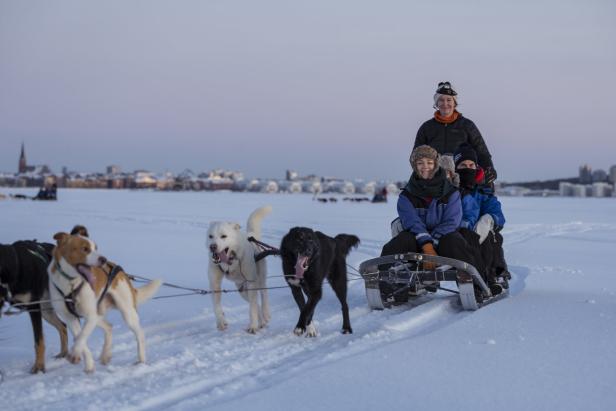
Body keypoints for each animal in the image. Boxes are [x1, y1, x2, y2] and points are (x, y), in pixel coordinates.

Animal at [0, 241, 68, 374]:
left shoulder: (33, 306)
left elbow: (38, 342)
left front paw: (39, 367)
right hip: (46, 310)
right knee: (63, 326)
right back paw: (63, 354)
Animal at [207, 206, 272, 334]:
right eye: (210, 236)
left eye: (223, 236)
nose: (212, 247)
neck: (230, 262)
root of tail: (251, 235)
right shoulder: (215, 284)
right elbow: (216, 306)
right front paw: (221, 322)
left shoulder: (252, 282)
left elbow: (252, 308)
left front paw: (253, 326)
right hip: (242, 290)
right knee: (255, 302)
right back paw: (261, 321)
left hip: (259, 279)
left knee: (263, 294)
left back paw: (266, 314)